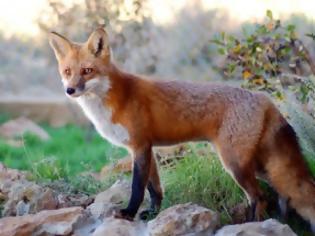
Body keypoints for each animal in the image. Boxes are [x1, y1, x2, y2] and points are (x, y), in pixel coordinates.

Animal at [50, 27, 315, 230]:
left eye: (87, 71)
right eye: (67, 72)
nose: (70, 90)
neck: (115, 98)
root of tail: (264, 98)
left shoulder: (140, 146)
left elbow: (137, 187)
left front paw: (128, 213)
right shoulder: (146, 148)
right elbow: (155, 189)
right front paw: (152, 214)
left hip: (235, 164)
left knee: (259, 197)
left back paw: (249, 226)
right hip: (257, 166)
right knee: (280, 195)